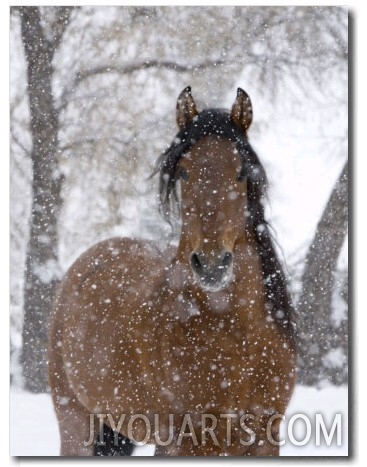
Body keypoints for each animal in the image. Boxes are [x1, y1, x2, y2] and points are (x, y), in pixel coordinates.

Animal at [49, 87, 298, 458]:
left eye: (241, 172)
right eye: (183, 172)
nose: (211, 264)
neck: (235, 338)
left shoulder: (265, 440)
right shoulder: (183, 442)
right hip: (76, 424)